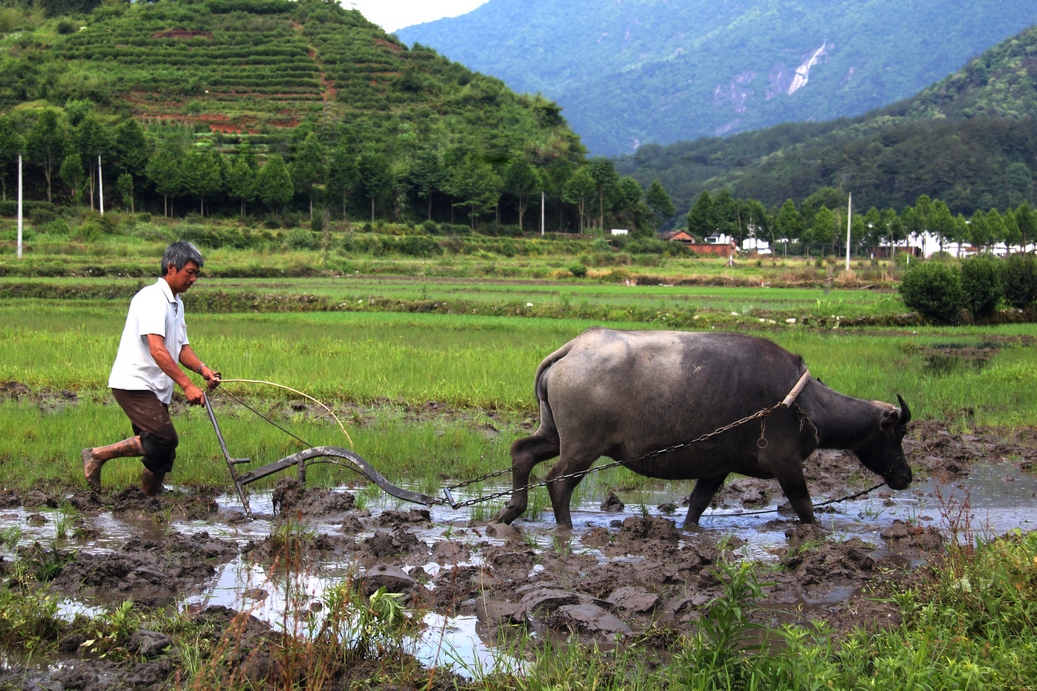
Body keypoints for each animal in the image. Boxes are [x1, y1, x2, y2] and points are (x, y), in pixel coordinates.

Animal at [497, 327, 912, 527]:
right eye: (898, 433)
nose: (906, 476)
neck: (805, 404)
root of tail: (572, 349)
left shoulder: (716, 469)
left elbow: (696, 507)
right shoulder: (786, 463)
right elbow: (805, 507)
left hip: (556, 435)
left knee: (523, 452)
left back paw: (511, 510)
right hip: (583, 446)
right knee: (558, 481)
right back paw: (564, 528)